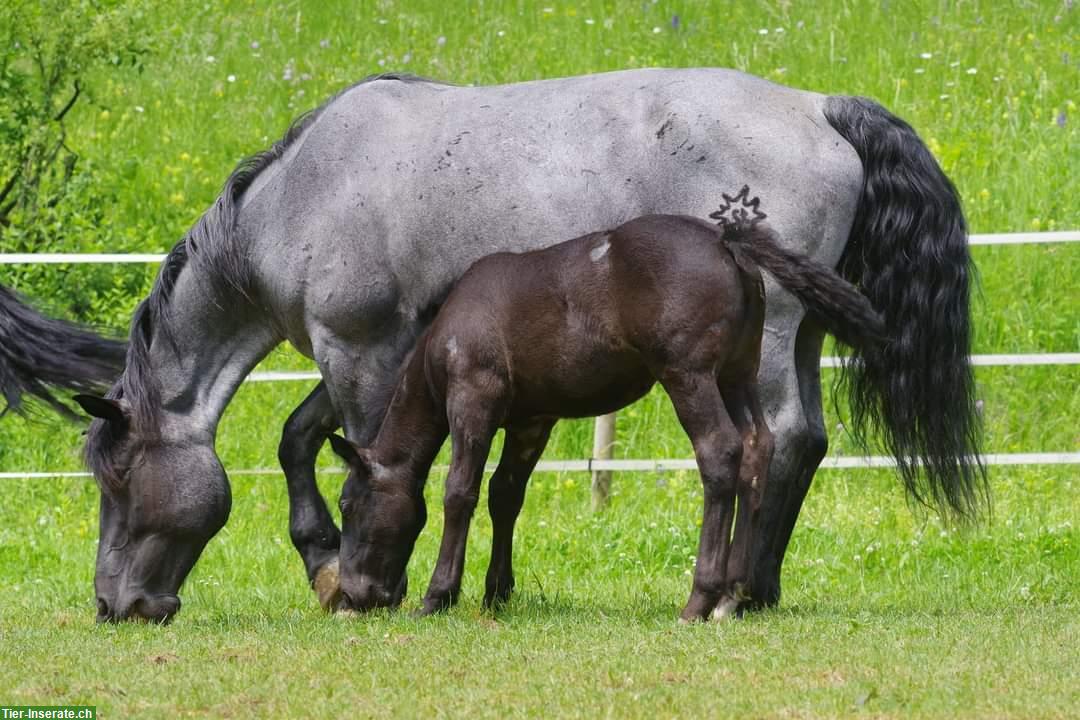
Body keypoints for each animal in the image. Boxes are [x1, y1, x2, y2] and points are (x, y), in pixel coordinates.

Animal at [330, 213, 885, 621]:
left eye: (347, 505)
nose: (351, 596)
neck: (444, 334)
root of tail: (727, 242)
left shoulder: (473, 399)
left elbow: (459, 491)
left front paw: (438, 595)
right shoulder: (532, 420)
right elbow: (505, 495)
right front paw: (497, 592)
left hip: (689, 375)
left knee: (720, 452)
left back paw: (700, 599)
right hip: (738, 375)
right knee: (756, 449)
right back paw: (733, 595)